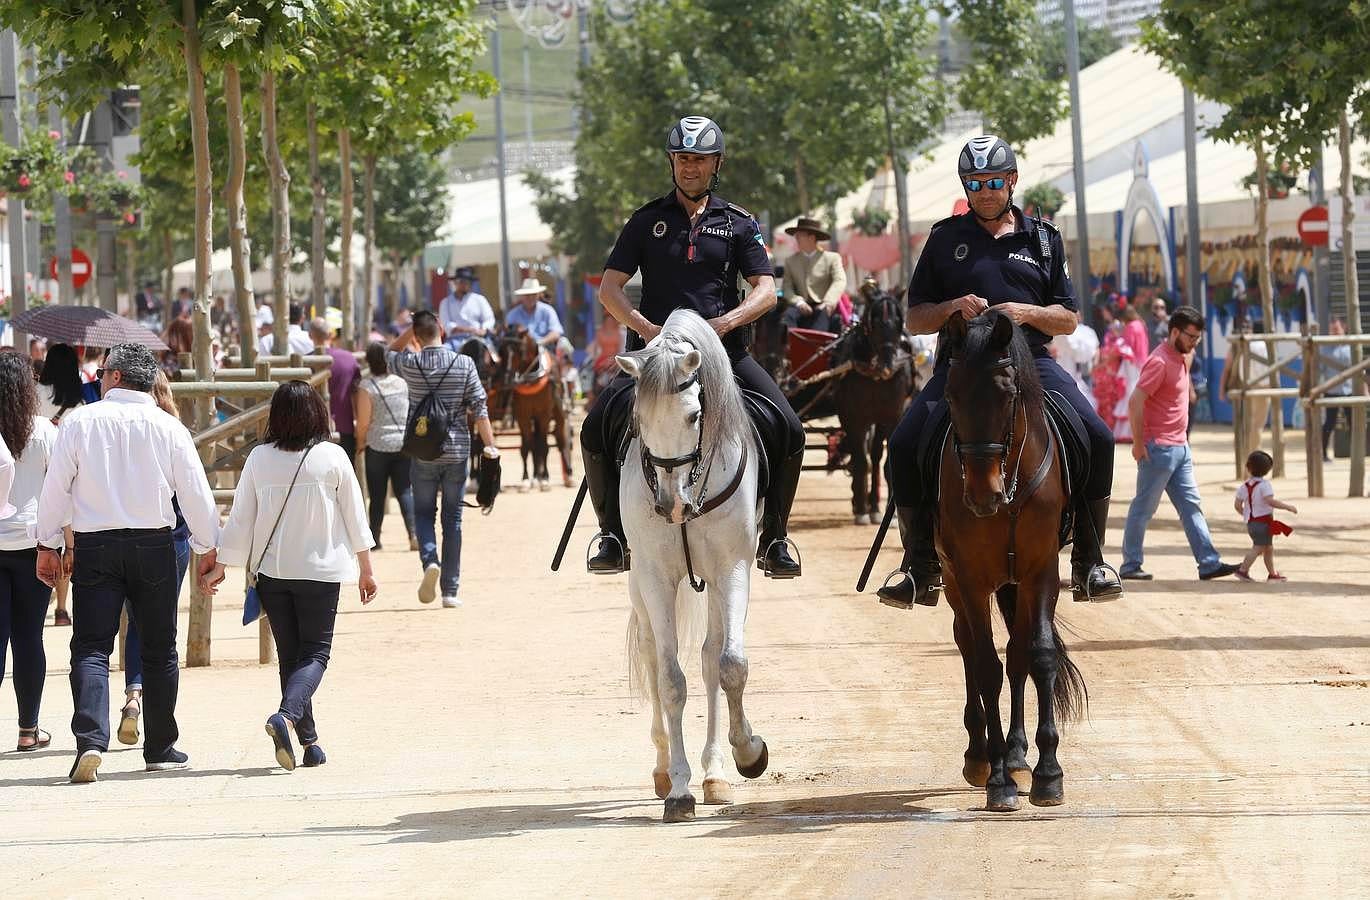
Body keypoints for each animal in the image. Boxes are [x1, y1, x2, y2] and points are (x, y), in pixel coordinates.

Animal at [501, 324, 569, 487]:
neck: (532, 379)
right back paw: (535, 475)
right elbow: (526, 446)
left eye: (519, 350)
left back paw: (564, 473)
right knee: (534, 444)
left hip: (557, 412)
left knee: (560, 437)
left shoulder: (543, 414)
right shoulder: (522, 415)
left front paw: (544, 479)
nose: (506, 378)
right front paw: (526, 479)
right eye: (502, 350)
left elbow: (543, 446)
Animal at [619, 306, 772, 821]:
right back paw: (667, 770)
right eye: (638, 418)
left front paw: (747, 753)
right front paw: (680, 791)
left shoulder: (733, 569)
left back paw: (715, 773)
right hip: (639, 586)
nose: (670, 504)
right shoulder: (654, 577)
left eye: (694, 415)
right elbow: (670, 680)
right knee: (651, 654)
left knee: (709, 657)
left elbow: (730, 665)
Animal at [942, 309, 1079, 805]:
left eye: (1007, 394)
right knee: (967, 645)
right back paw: (980, 755)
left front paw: (1047, 772)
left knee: (1018, 653)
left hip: (1015, 583)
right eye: (950, 394)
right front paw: (998, 778)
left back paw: (1019, 756)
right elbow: (986, 666)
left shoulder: (1041, 572)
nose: (983, 495)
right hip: (954, 582)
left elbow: (1038, 655)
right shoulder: (969, 578)